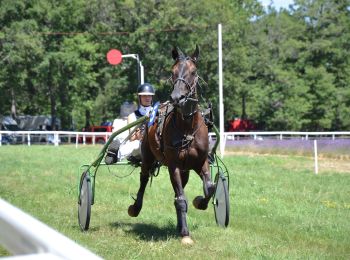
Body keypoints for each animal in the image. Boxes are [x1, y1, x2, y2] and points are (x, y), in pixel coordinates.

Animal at [126, 45, 213, 244]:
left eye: (193, 72)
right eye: (173, 72)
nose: (177, 97)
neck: (187, 127)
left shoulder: (201, 162)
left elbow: (210, 188)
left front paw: (200, 202)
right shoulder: (174, 165)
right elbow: (181, 199)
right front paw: (186, 234)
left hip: (186, 169)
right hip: (148, 158)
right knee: (144, 179)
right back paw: (135, 208)